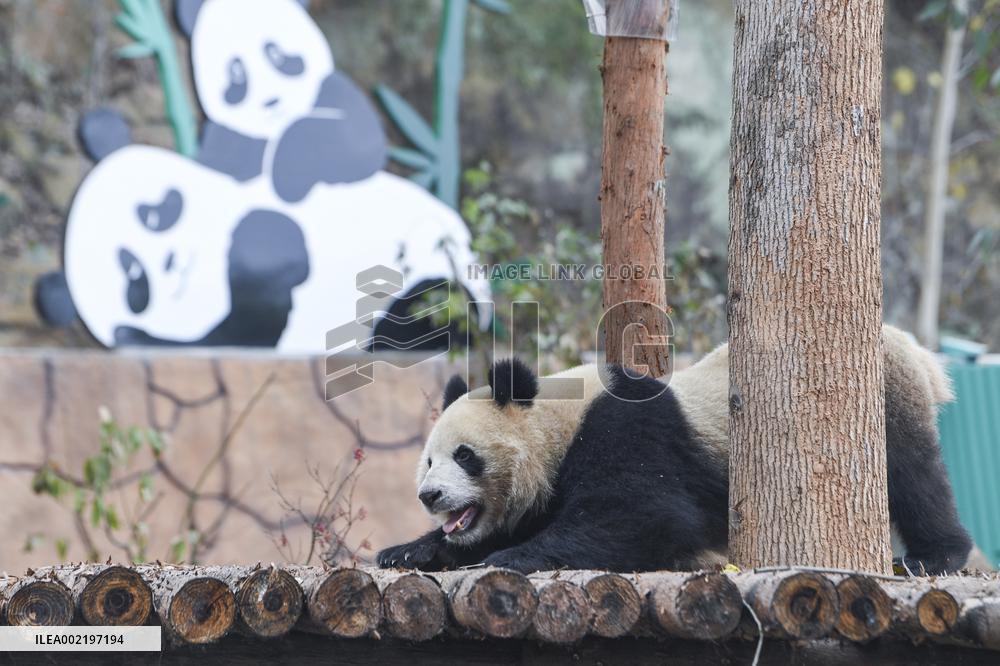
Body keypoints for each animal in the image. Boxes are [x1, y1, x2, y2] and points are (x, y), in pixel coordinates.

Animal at [176, 0, 387, 201]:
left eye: (275, 55)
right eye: (236, 73)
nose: (272, 101)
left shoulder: (334, 93)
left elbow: (357, 141)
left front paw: (287, 176)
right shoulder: (228, 135)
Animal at [377, 325, 973, 575]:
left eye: (465, 455)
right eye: (428, 461)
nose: (430, 496)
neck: (557, 420)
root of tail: (909, 346)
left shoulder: (628, 430)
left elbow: (645, 514)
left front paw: (509, 557)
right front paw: (407, 551)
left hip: (886, 401)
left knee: (917, 477)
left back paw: (934, 556)